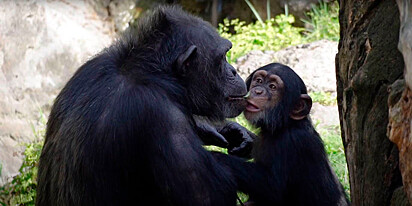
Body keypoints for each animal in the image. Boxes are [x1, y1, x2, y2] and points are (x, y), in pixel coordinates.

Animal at [212, 63, 350, 206]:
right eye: (259, 81)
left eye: (272, 87)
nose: (258, 91)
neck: (283, 126)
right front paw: (242, 139)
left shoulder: (293, 141)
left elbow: (273, 187)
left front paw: (217, 158)